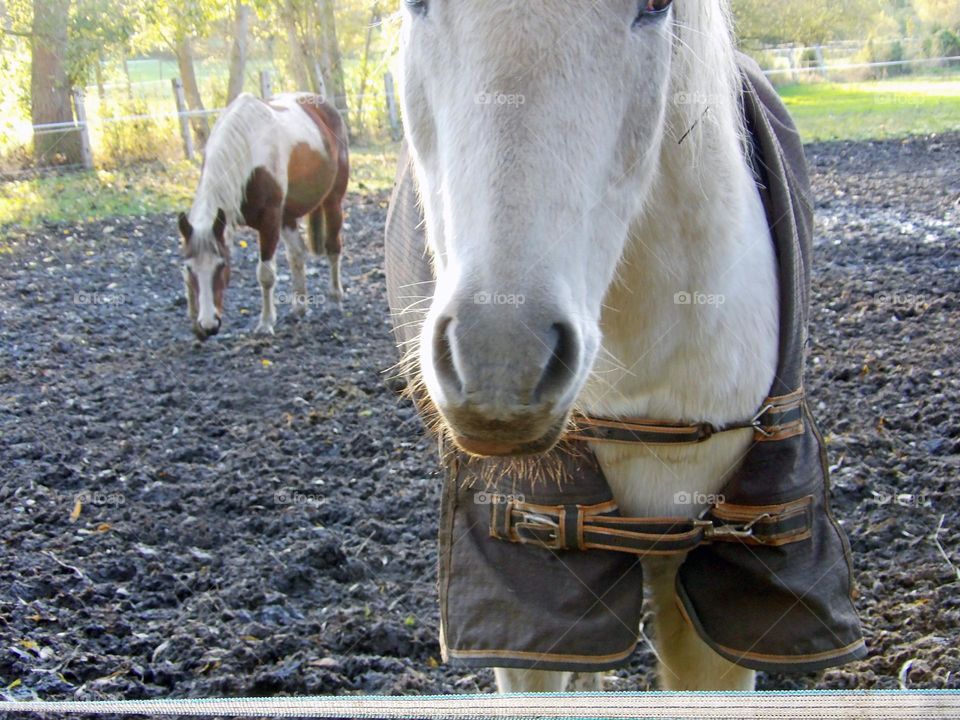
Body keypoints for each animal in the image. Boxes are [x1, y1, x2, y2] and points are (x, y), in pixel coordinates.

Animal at [177, 92, 349, 340]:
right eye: (191, 268)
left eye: (222, 266)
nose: (209, 325)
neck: (247, 151)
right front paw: (193, 322)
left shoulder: (269, 221)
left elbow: (265, 274)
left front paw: (266, 322)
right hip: (287, 216)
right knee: (297, 254)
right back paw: (299, 307)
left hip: (332, 201)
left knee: (333, 247)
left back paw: (335, 298)